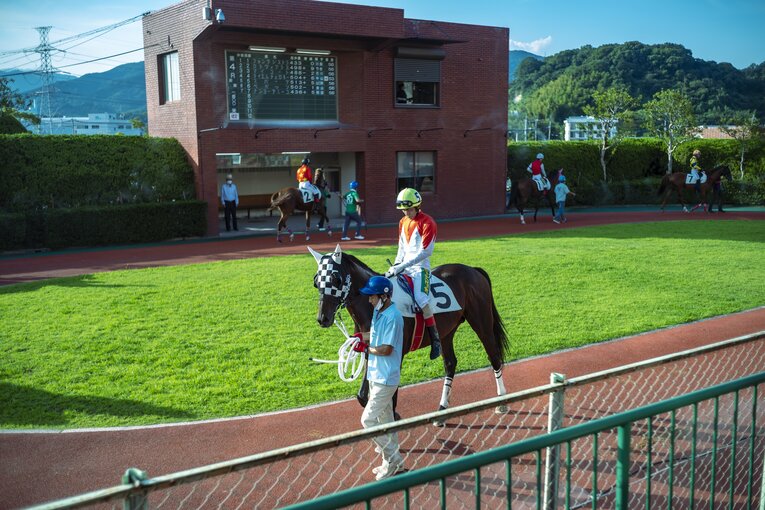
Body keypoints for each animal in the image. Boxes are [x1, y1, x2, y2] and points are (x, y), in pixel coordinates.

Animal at [307, 244, 510, 422]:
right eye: (317, 282)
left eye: (336, 279)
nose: (323, 318)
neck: (376, 305)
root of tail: (473, 270)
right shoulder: (370, 350)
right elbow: (363, 396)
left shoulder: (395, 353)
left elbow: (390, 392)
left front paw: (392, 418)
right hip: (446, 331)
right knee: (450, 363)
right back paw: (442, 410)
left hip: (482, 322)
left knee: (494, 356)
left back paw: (502, 401)